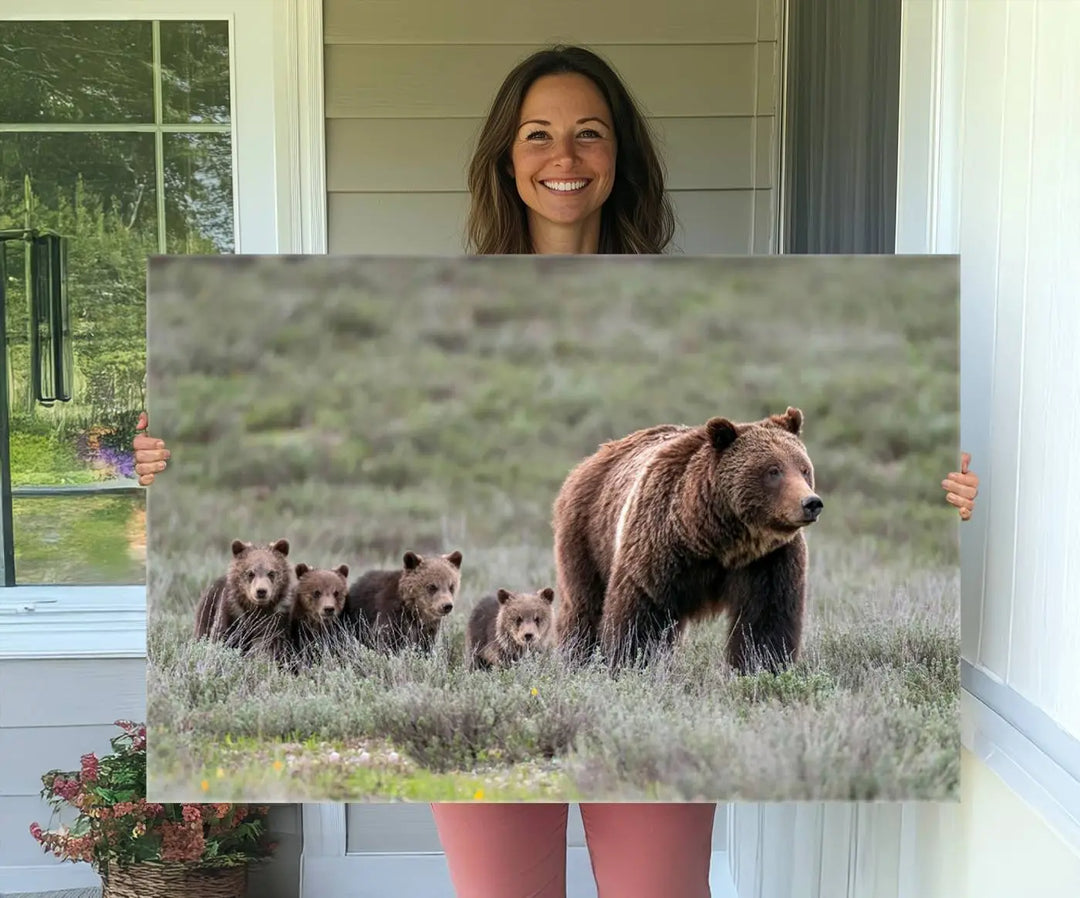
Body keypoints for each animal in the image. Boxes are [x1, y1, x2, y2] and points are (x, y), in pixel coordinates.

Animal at [552, 406, 820, 674]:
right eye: (773, 470)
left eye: (804, 469)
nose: (811, 503)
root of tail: (592, 458)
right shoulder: (659, 547)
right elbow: (640, 613)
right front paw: (630, 663)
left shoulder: (768, 559)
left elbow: (766, 619)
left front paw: (762, 666)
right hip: (588, 536)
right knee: (584, 606)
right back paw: (577, 657)